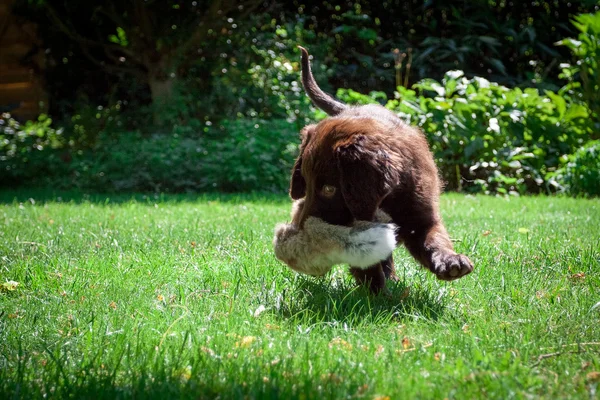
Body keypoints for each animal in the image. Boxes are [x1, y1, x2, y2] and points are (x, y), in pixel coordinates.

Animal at [290, 47, 474, 292]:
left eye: (329, 189)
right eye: (307, 185)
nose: (300, 231)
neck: (385, 199)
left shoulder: (421, 214)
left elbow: (434, 238)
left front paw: (451, 261)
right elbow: (366, 263)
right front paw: (377, 294)